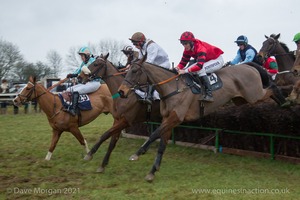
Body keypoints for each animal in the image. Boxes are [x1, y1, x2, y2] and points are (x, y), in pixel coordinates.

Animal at [117, 54, 286, 181]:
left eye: (135, 71)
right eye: (127, 70)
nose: (121, 92)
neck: (172, 88)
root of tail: (248, 65)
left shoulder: (176, 118)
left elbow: (153, 134)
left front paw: (138, 153)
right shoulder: (167, 119)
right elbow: (162, 144)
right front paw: (152, 171)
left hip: (253, 95)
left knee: (271, 87)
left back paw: (285, 101)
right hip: (242, 100)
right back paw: (283, 102)